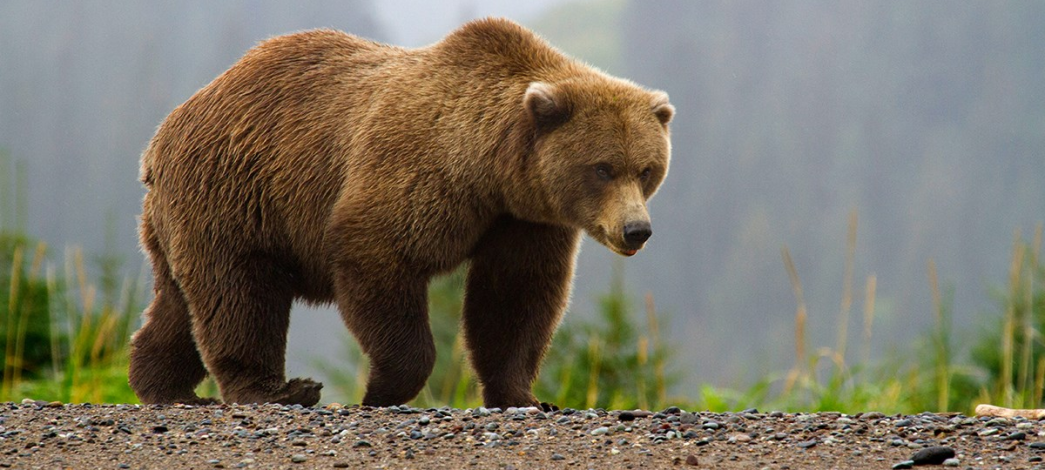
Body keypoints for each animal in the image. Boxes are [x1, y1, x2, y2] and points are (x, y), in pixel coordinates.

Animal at [126, 17, 672, 407]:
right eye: (602, 168)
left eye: (647, 169)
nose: (637, 230)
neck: (490, 170)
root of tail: (163, 134)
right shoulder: (417, 172)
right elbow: (378, 256)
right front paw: (381, 389)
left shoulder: (524, 220)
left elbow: (515, 297)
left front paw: (524, 396)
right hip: (237, 192)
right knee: (239, 294)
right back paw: (275, 390)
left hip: (186, 215)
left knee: (179, 302)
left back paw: (163, 386)